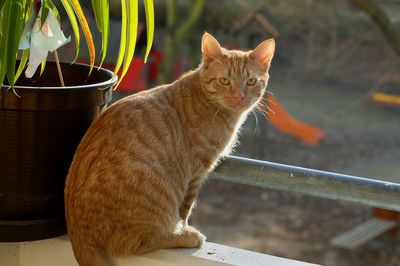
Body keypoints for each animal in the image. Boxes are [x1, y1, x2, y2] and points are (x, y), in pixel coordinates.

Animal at [65, 32, 276, 264]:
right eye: (224, 80)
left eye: (251, 81)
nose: (239, 96)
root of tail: (76, 230)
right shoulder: (196, 170)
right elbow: (186, 208)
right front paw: (183, 227)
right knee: (131, 244)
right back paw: (184, 236)